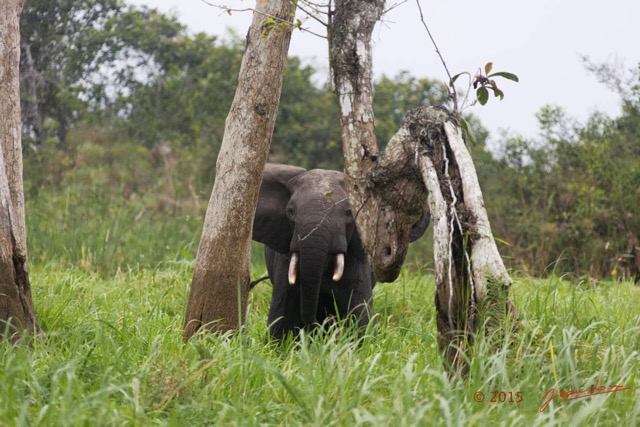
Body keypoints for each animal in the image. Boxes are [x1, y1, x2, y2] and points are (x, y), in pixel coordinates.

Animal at [251, 165, 430, 342]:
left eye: (349, 214)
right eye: (291, 212)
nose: (314, 327)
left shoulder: (357, 255)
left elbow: (358, 312)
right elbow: (282, 313)